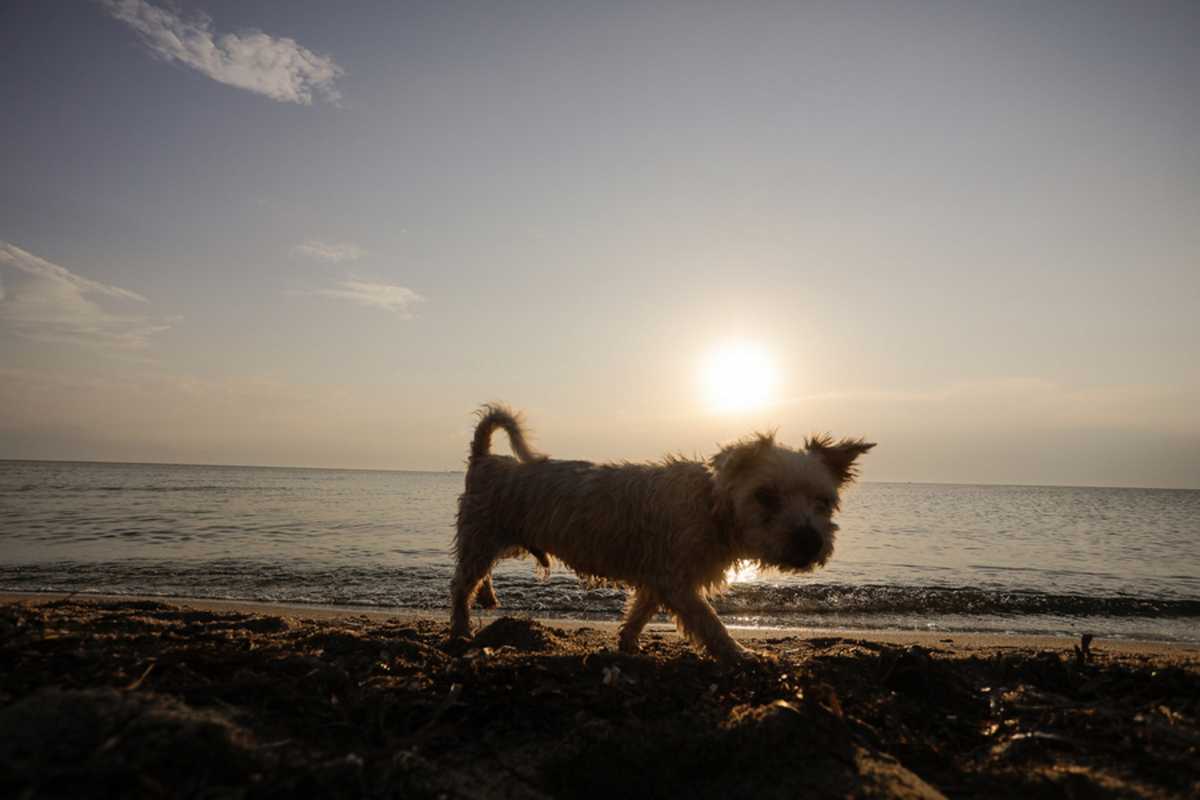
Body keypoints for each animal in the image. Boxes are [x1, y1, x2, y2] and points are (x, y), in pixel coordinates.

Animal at [451, 407, 873, 662]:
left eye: (824, 502)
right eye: (765, 496)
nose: (810, 541)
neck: (711, 506)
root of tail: (484, 459)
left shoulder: (658, 577)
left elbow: (640, 611)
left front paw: (627, 644)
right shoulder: (677, 581)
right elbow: (709, 622)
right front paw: (741, 654)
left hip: (504, 541)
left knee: (478, 577)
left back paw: (487, 597)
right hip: (481, 537)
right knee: (461, 586)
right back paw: (460, 631)